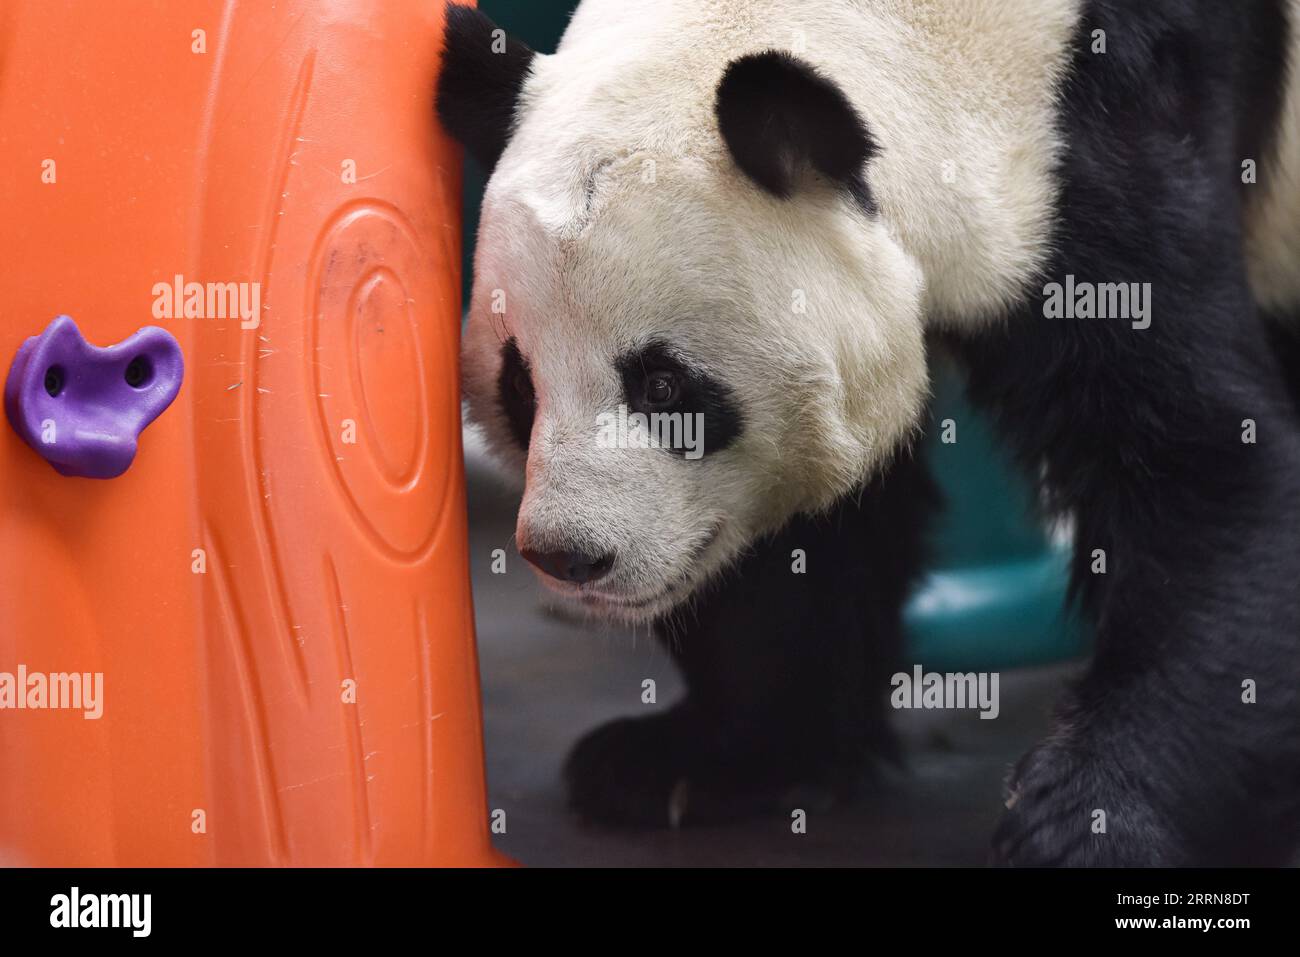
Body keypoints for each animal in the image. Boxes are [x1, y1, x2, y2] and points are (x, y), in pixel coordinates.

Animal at [434, 0, 1300, 868]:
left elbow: (1203, 464)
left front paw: (1081, 819)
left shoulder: (1105, 131)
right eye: (521, 386)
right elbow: (804, 545)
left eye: (663, 385)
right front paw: (696, 761)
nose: (569, 554)